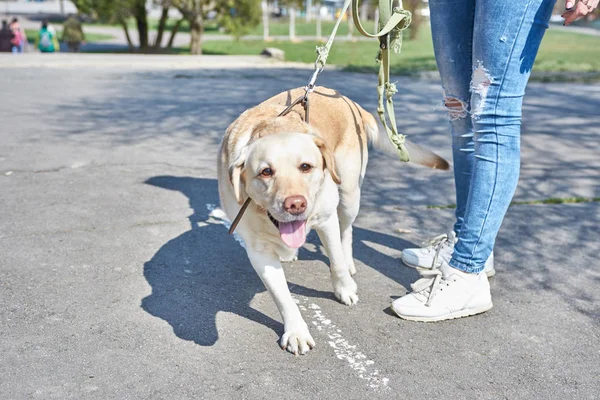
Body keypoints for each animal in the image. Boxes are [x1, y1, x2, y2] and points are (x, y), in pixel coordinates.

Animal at [218, 86, 448, 354]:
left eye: (306, 167)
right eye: (266, 172)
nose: (295, 204)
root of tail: (347, 100)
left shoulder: (326, 219)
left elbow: (335, 260)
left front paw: (344, 288)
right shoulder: (258, 251)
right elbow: (283, 297)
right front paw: (296, 331)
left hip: (348, 194)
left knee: (346, 232)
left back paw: (348, 263)